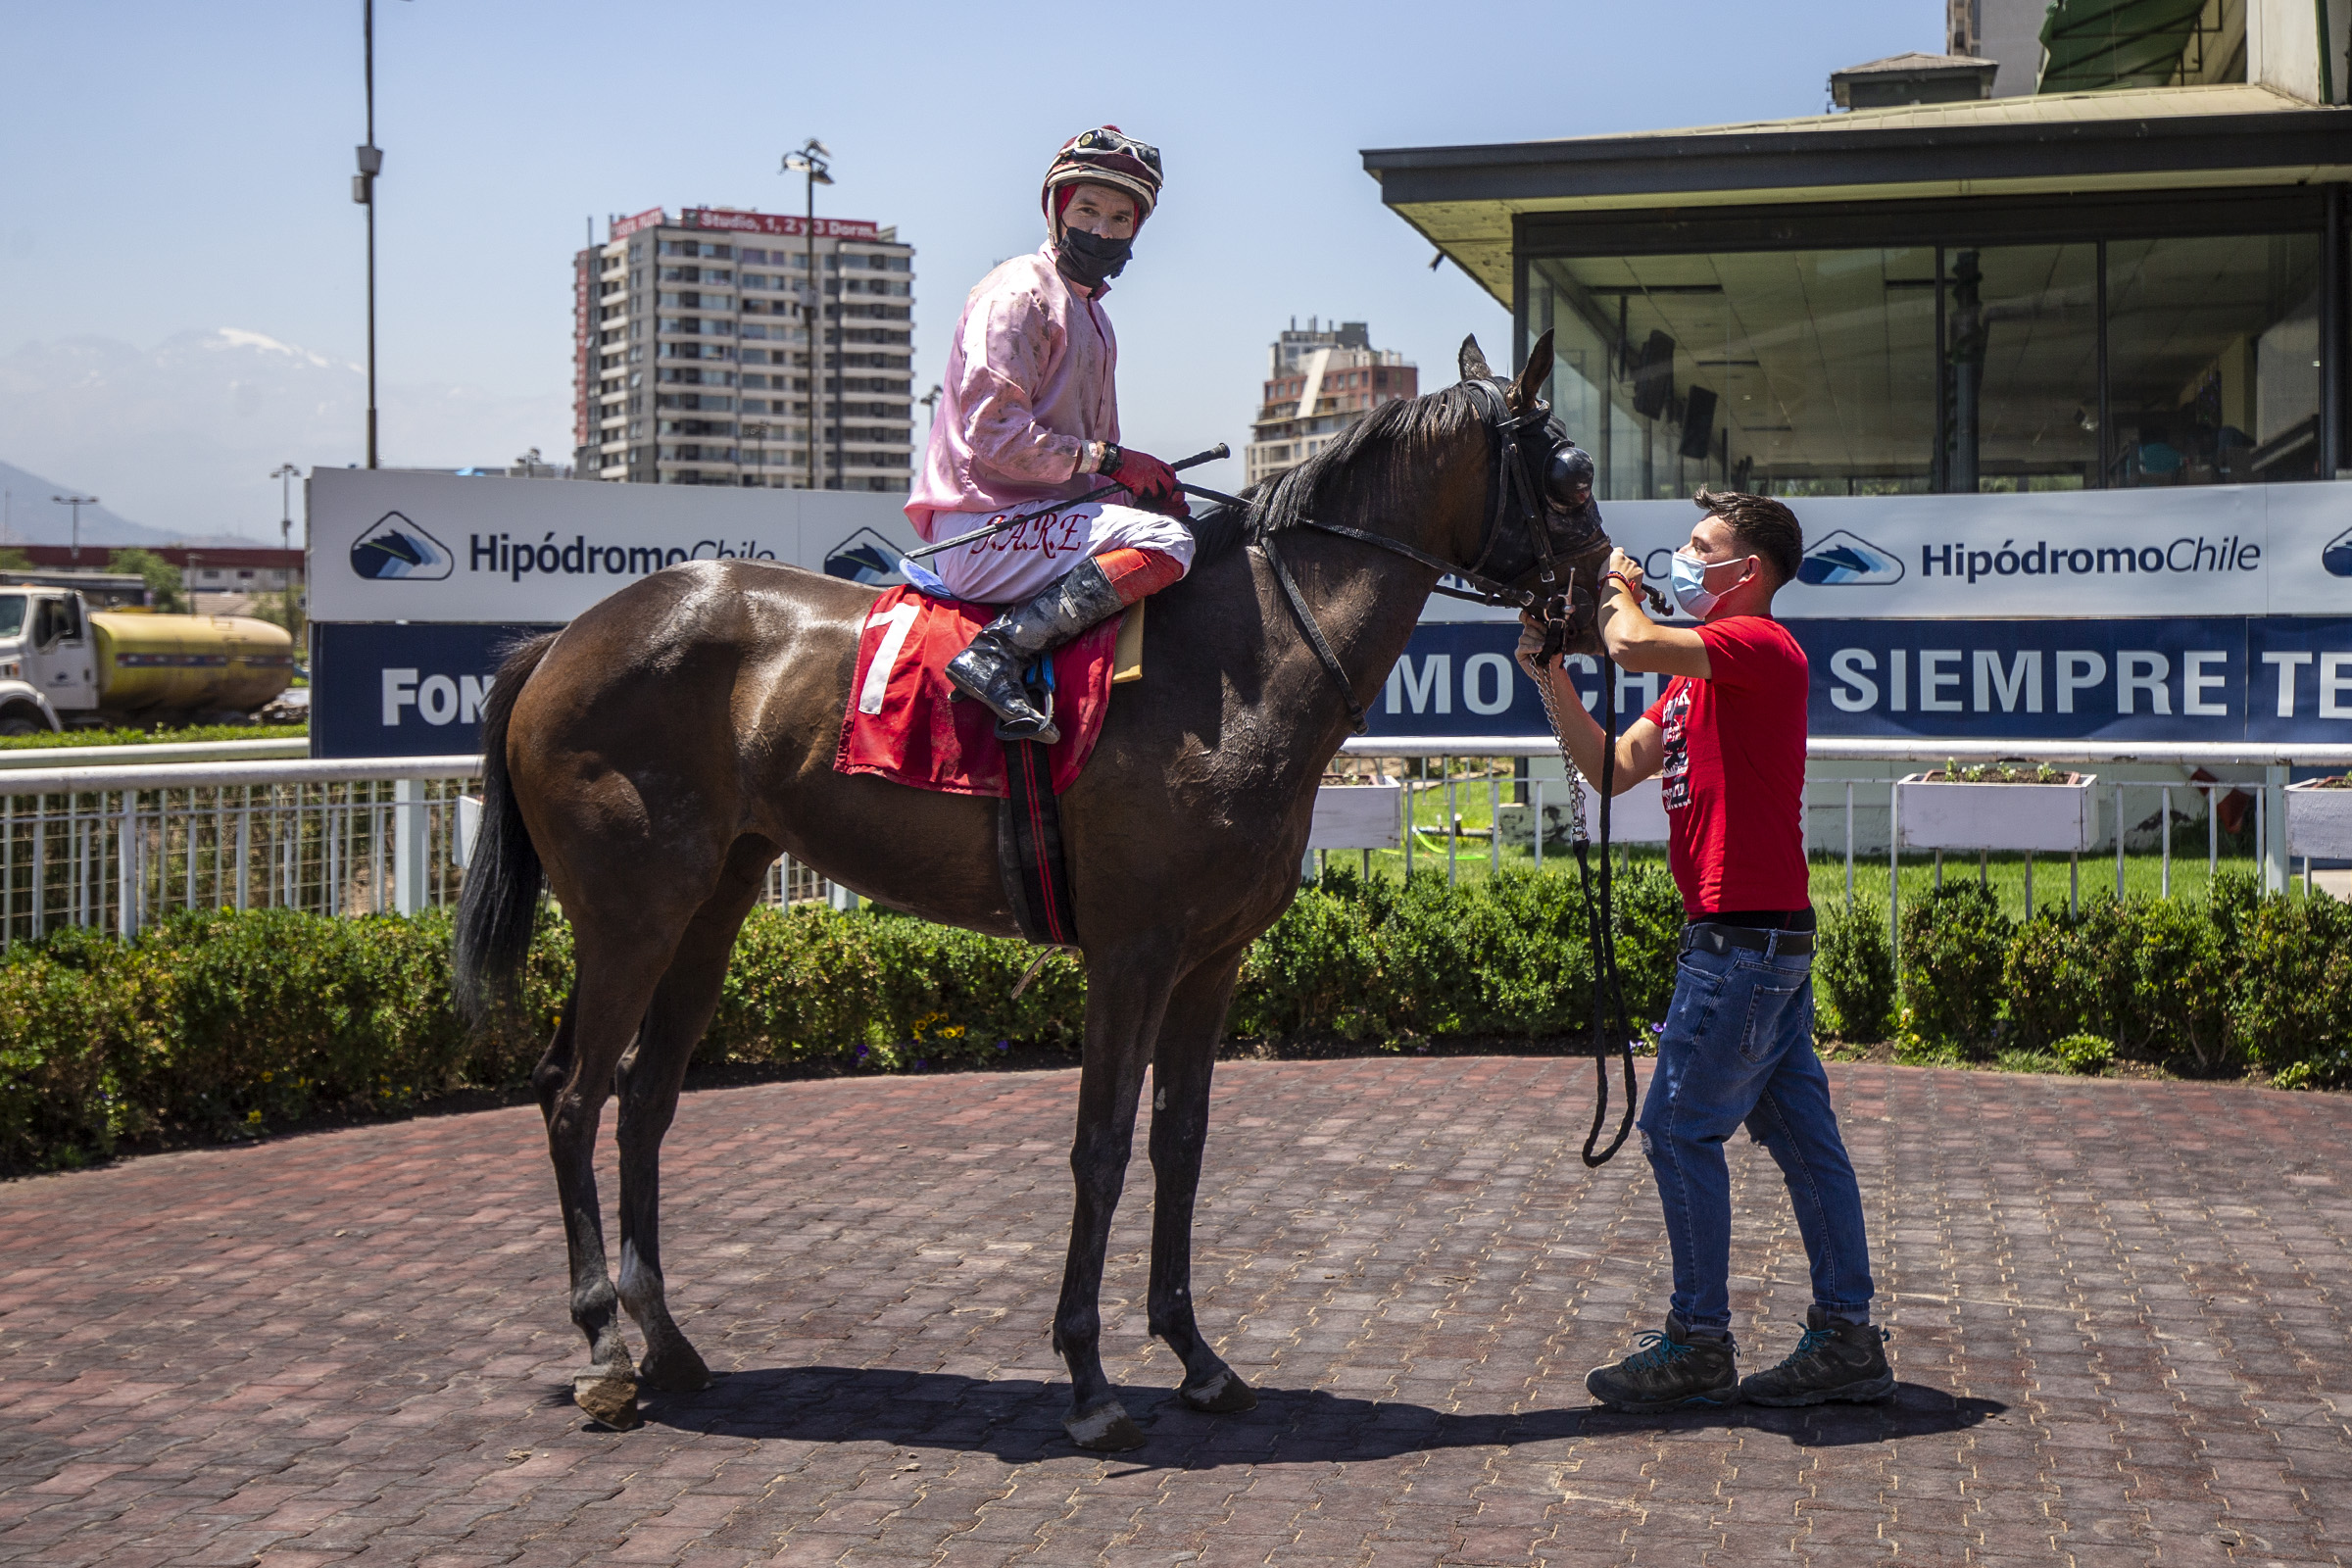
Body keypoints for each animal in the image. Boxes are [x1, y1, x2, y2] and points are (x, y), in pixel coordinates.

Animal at [454, 331, 1613, 1451]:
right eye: (1575, 472)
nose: (1608, 609)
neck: (1245, 661)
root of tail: (564, 638)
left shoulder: (1213, 956)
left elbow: (1180, 1140)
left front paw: (1197, 1356)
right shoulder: (1132, 950)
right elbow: (1100, 1147)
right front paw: (1091, 1380)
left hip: (711, 903)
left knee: (645, 1096)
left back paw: (667, 1340)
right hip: (627, 912)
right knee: (572, 1091)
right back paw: (606, 1349)